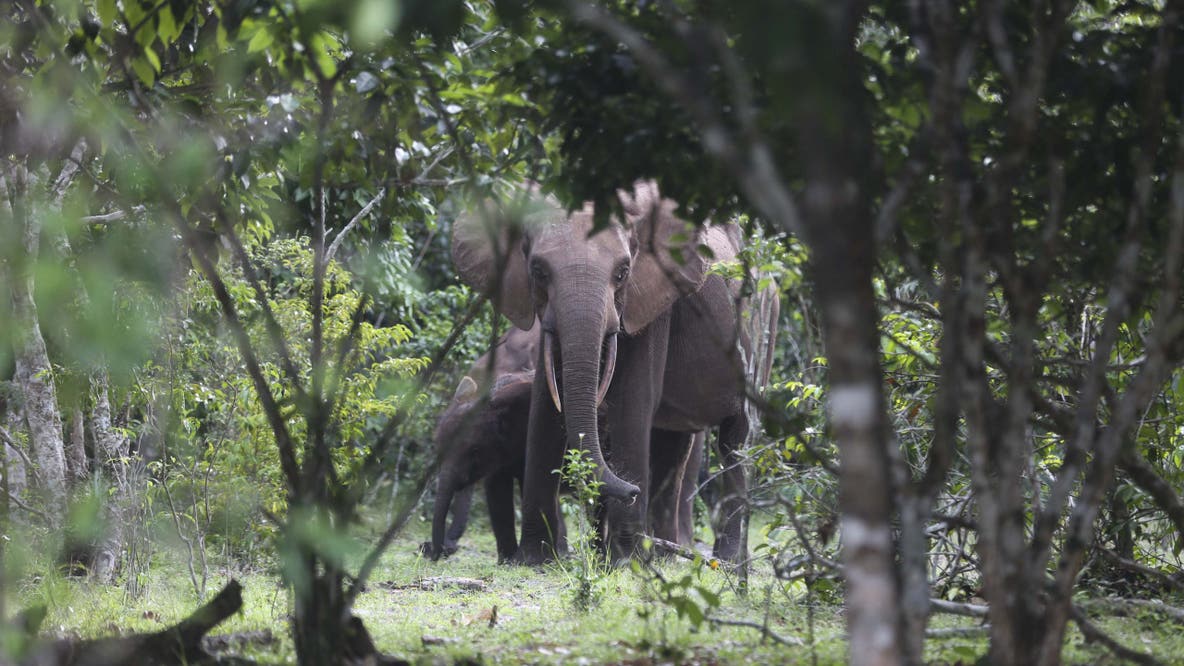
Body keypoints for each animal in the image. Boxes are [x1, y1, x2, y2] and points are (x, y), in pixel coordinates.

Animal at [452, 180, 778, 564]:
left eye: (623, 272)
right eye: (538, 271)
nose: (632, 489)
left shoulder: (653, 302)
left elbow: (632, 400)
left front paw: (624, 562)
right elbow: (547, 405)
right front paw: (534, 560)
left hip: (764, 328)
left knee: (735, 439)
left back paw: (724, 561)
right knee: (673, 444)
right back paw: (666, 555)